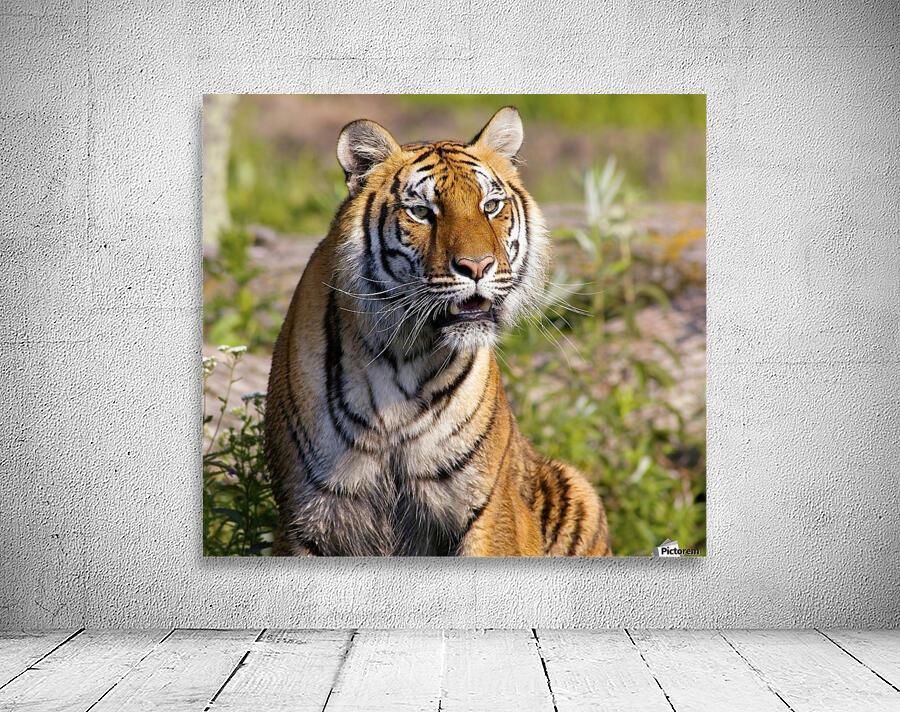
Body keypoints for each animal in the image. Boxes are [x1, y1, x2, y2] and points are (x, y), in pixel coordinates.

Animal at [265, 106, 611, 557]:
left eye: (491, 205)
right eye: (422, 212)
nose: (478, 266)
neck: (401, 358)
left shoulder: (486, 509)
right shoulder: (305, 521)